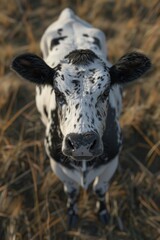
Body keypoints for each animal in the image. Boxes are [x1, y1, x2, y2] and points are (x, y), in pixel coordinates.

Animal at [11, 8, 151, 228]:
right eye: (58, 93)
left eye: (105, 92)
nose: (82, 143)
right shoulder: (57, 165)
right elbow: (71, 191)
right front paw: (72, 215)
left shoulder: (111, 162)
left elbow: (100, 189)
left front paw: (103, 213)